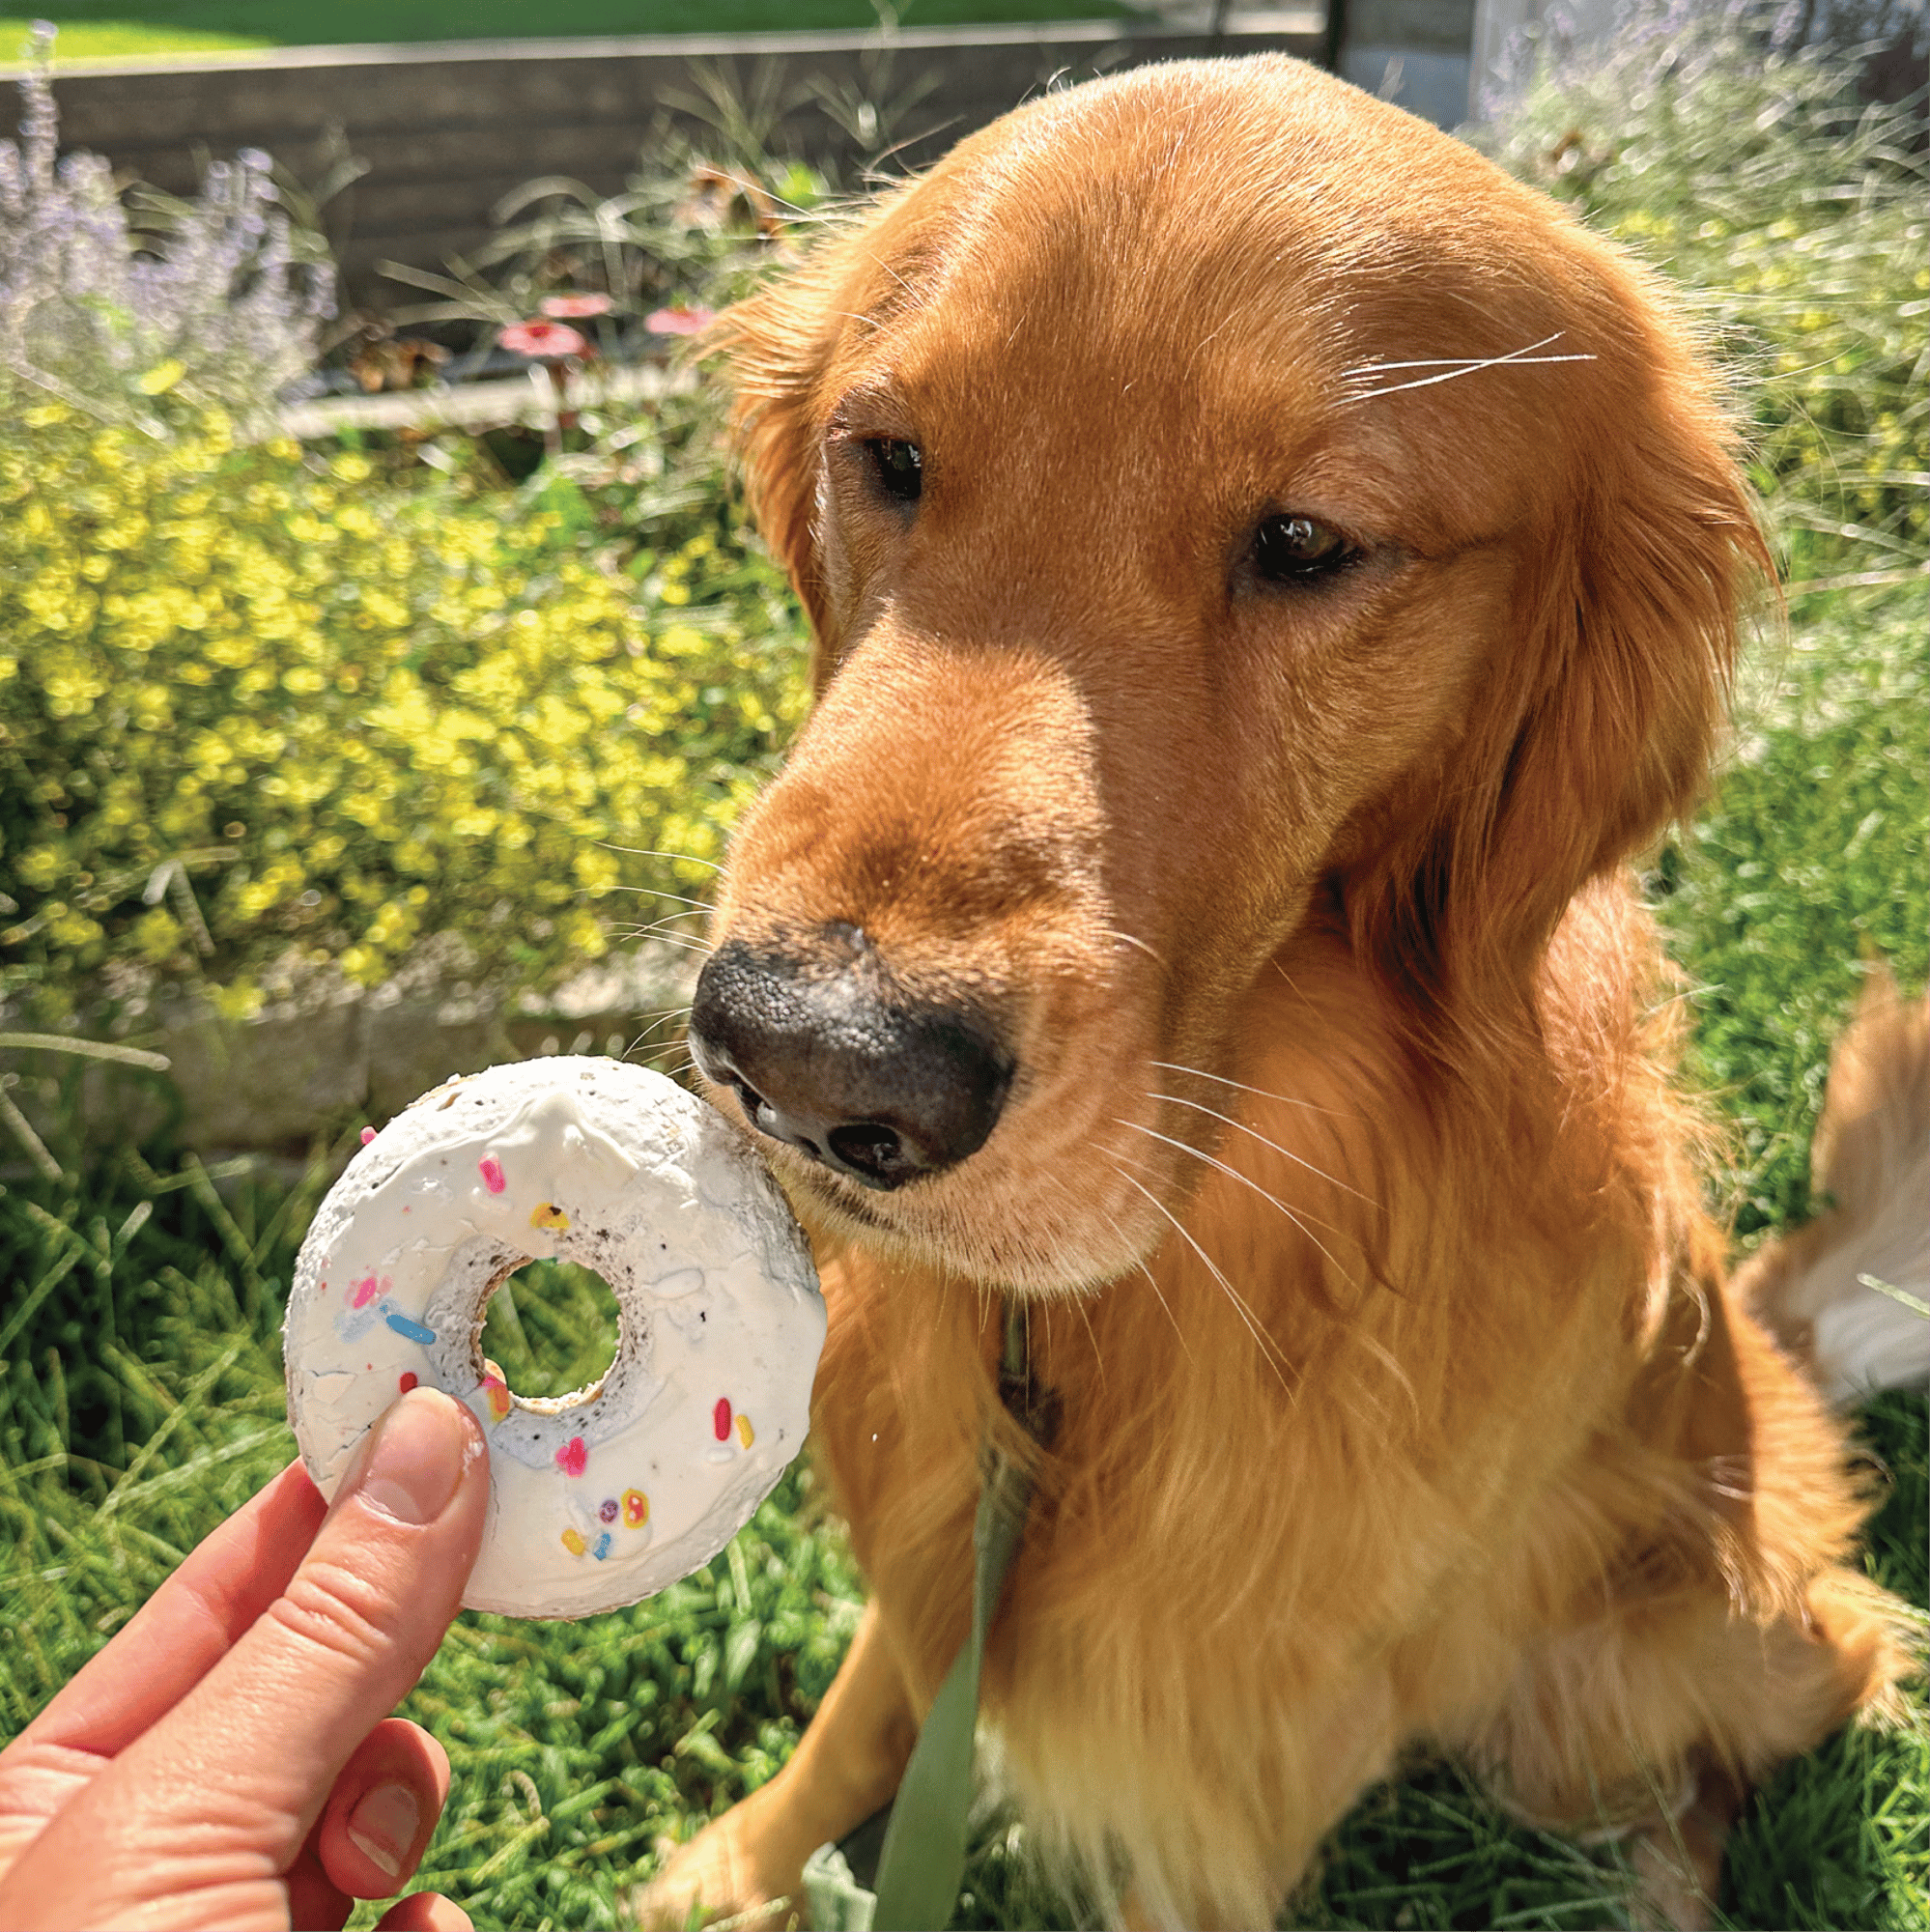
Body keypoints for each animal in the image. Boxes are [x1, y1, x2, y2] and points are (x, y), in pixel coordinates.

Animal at [645, 52, 1916, 1924]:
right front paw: (736, 1867)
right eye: (887, 458)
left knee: (1722, 1763)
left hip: (1699, 1635)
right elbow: (871, 1704)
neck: (1110, 1326)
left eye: (1307, 542)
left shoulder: (1241, 1733)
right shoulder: (947, 1542)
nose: (808, 1071)